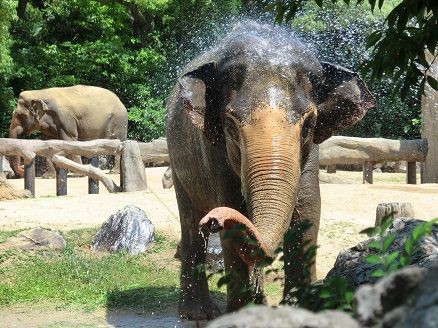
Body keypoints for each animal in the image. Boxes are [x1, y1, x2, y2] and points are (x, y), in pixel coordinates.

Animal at [166, 21, 374, 320]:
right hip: (177, 161)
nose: (214, 219)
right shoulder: (213, 150)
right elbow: (232, 205)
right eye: (230, 125)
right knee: (191, 223)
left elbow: (308, 208)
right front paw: (239, 315)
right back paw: (198, 314)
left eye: (309, 124)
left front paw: (299, 309)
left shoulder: (310, 154)